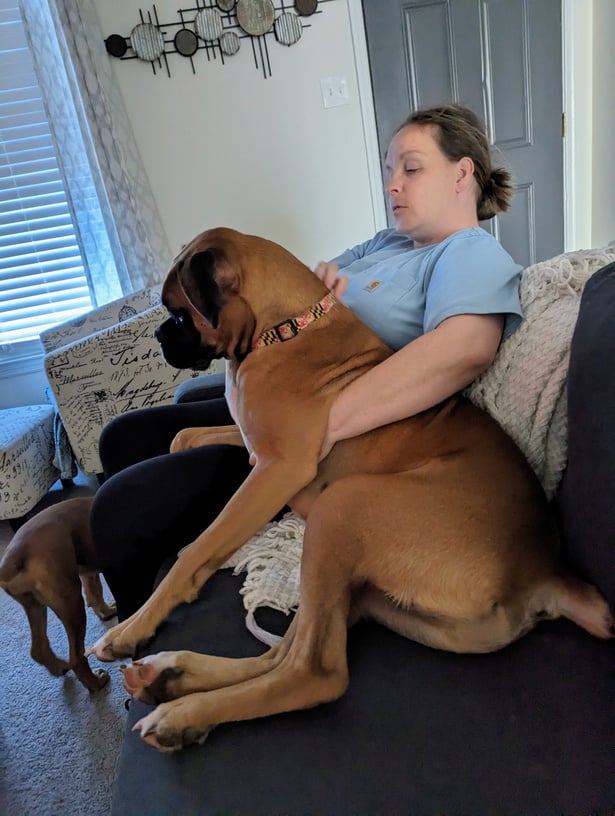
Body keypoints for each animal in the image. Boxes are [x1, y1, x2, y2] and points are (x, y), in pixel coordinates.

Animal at [0, 494, 115, 692]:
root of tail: (13, 558)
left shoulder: (88, 572)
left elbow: (95, 593)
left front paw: (107, 611)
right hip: (71, 602)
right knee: (76, 657)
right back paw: (96, 682)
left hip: (35, 605)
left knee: (38, 649)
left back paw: (59, 667)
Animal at [90, 230, 612, 752]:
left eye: (178, 313)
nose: (158, 337)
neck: (283, 330)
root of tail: (542, 574)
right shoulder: (256, 448)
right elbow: (183, 437)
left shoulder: (277, 470)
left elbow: (198, 550)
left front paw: (131, 629)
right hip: (353, 581)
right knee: (280, 654)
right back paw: (170, 676)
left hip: (339, 507)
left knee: (312, 671)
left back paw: (182, 711)